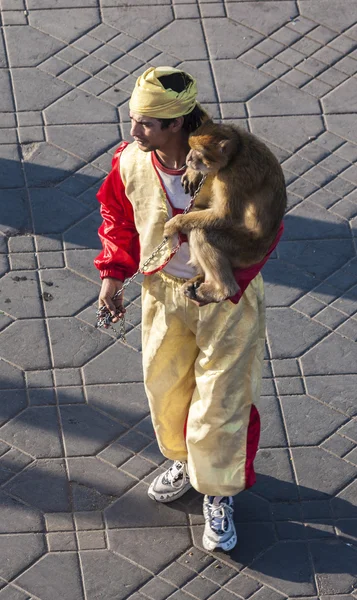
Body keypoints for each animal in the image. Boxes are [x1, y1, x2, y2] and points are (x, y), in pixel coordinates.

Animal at [163, 120, 288, 304]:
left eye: (198, 152)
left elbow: (224, 216)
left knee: (202, 232)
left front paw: (174, 223)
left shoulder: (232, 177)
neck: (236, 153)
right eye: (190, 147)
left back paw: (221, 290)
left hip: (243, 250)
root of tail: (263, 251)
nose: (188, 158)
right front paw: (194, 173)